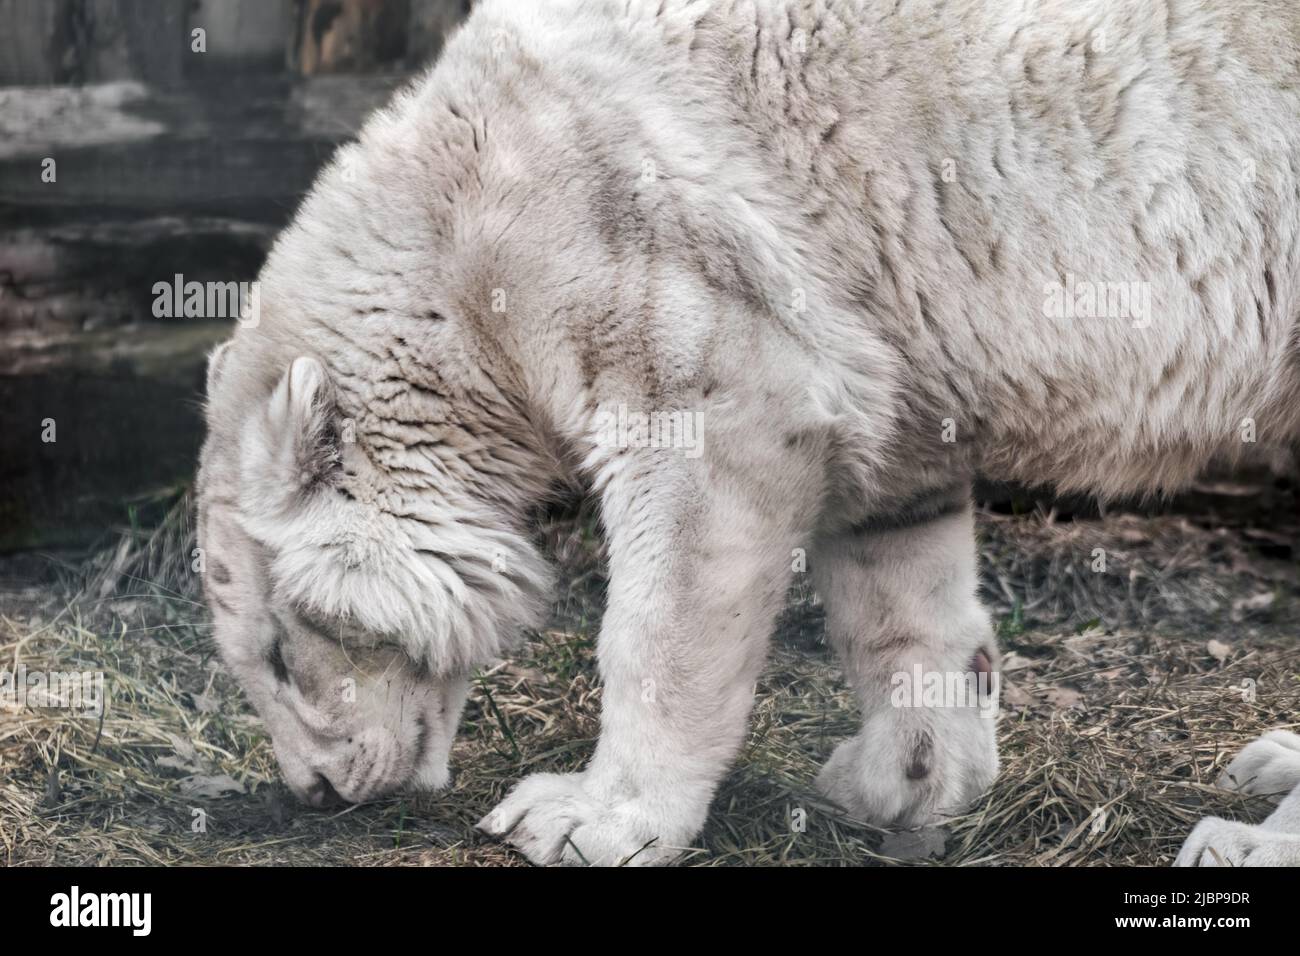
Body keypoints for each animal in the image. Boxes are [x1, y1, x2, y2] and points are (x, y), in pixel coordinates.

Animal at [197, 0, 1300, 868]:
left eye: (283, 653)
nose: (316, 791)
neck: (452, 245)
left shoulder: (647, 255)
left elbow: (675, 583)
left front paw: (582, 818)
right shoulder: (889, 333)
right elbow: (897, 569)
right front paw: (899, 774)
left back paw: (1248, 834)